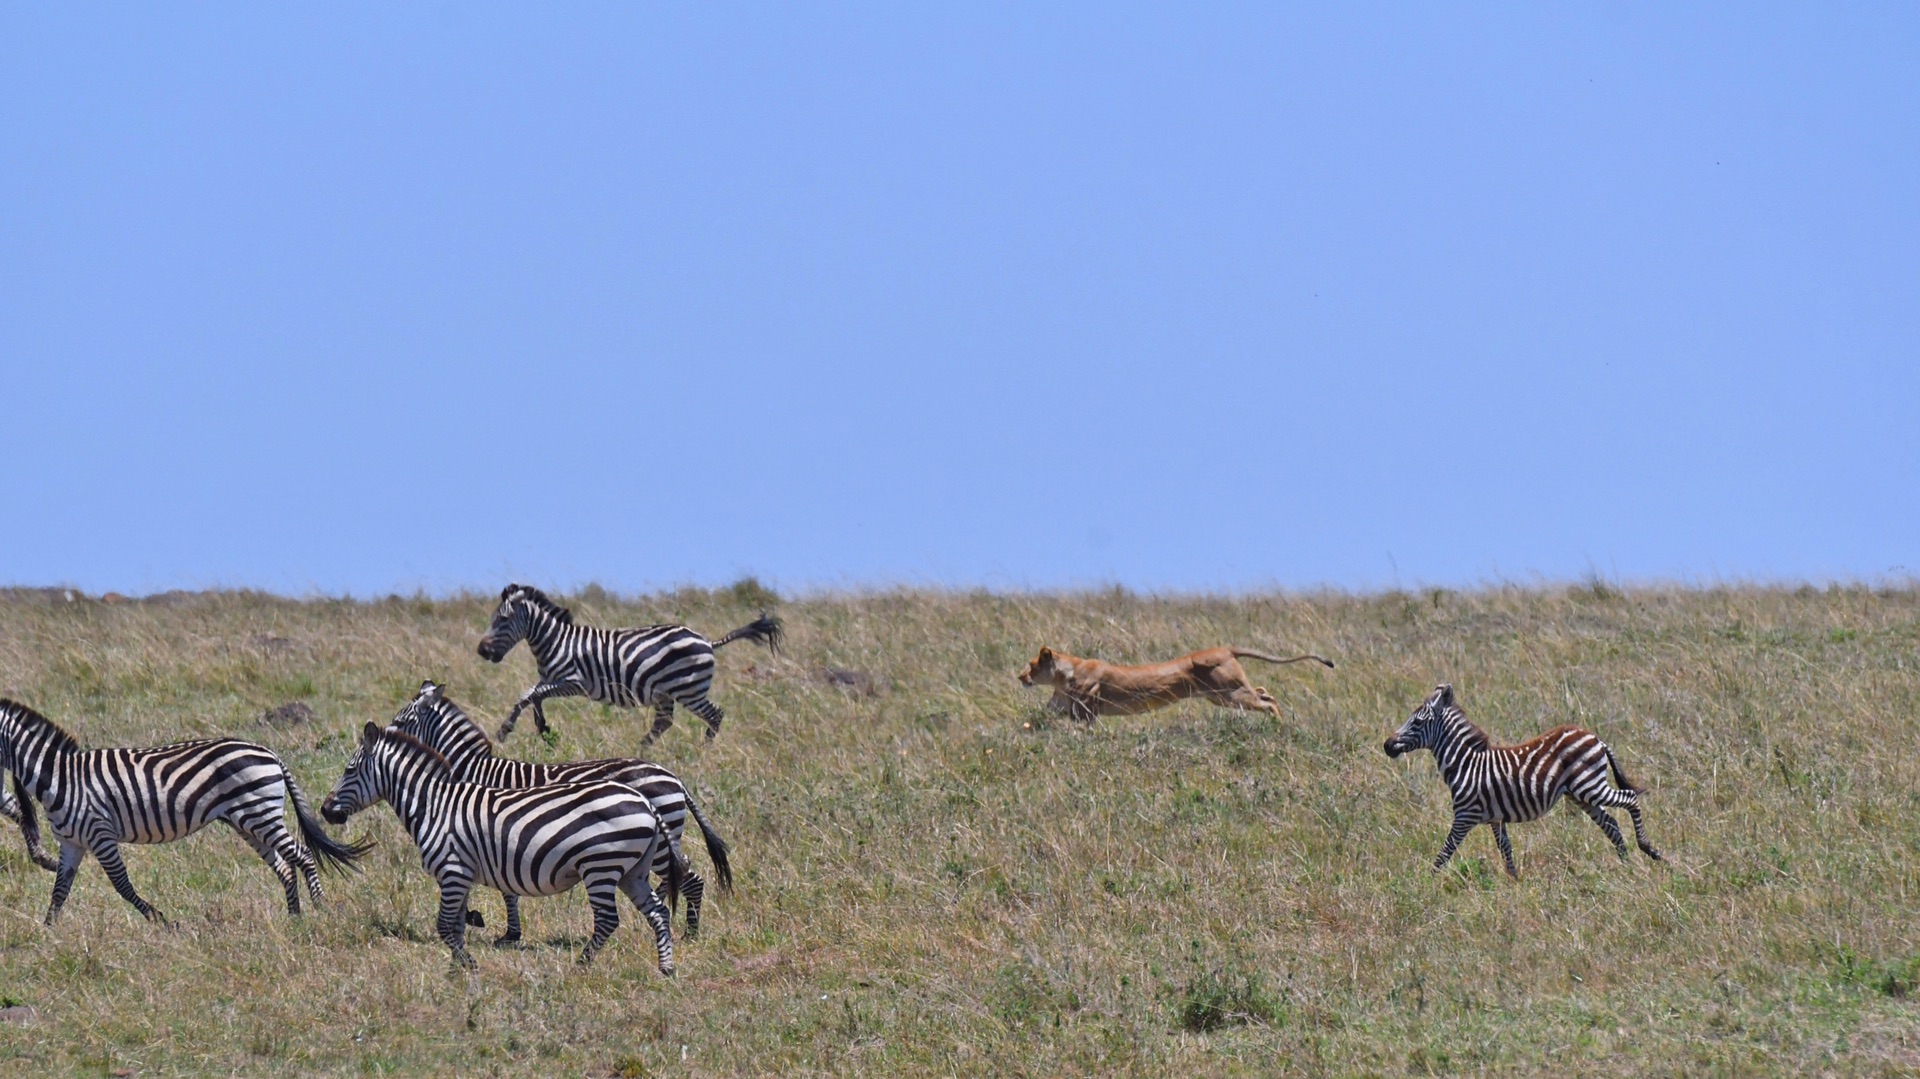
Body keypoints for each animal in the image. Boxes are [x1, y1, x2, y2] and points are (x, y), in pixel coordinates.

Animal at [0, 698, 368, 925]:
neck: (58, 777)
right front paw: (47, 934)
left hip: (259, 813)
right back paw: (294, 918)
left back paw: (318, 910)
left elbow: (122, 885)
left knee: (301, 855)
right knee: (284, 866)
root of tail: (268, 751)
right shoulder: (72, 843)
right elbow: (59, 891)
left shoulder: (99, 834)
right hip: (247, 821)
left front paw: (160, 922)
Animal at [326, 718, 687, 971]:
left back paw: (581, 966)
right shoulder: (461, 875)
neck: (433, 805)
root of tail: (646, 802)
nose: (326, 810)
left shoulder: (452, 871)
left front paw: (468, 965)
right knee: (658, 912)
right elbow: (456, 926)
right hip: (633, 871)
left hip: (601, 866)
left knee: (608, 920)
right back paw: (666, 968)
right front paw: (458, 971)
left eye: (349, 769)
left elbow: (444, 926)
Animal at [385, 679, 729, 940]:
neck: (475, 770)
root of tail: (672, 776)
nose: (381, 737)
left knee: (689, 878)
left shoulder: (496, 832)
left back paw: (690, 933)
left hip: (657, 844)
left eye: (401, 722)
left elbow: (506, 888)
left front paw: (506, 932)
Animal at [478, 583, 779, 744]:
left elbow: (529, 695)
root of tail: (706, 640)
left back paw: (703, 752)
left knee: (714, 715)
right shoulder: (548, 679)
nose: (481, 650)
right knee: (664, 723)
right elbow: (532, 695)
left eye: (503, 619)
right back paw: (641, 750)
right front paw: (541, 728)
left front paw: (506, 732)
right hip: (665, 693)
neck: (556, 641)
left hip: (689, 690)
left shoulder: (574, 683)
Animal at [1382, 683, 1666, 879]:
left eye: (1417, 722)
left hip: (1590, 785)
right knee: (1612, 824)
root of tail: (1595, 737)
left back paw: (1648, 850)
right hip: (1581, 795)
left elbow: (1445, 851)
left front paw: (1426, 884)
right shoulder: (1495, 818)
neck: (1465, 763)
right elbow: (1505, 849)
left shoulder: (1465, 815)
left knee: (1630, 799)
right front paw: (1515, 882)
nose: (1387, 745)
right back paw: (1625, 864)